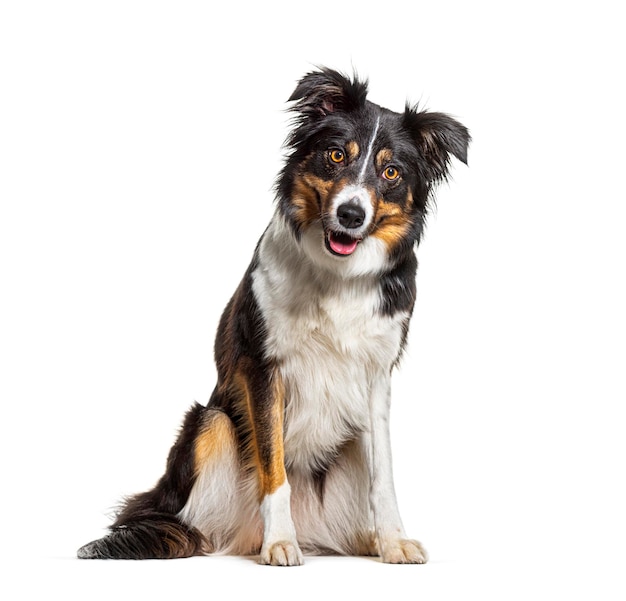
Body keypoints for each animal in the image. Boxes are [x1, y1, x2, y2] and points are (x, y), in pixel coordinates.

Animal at [77, 68, 468, 564]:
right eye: (336, 155)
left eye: (391, 172)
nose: (351, 214)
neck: (338, 275)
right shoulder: (264, 366)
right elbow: (273, 466)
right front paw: (280, 541)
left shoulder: (377, 377)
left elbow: (385, 476)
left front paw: (394, 540)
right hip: (211, 423)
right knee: (195, 524)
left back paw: (366, 540)